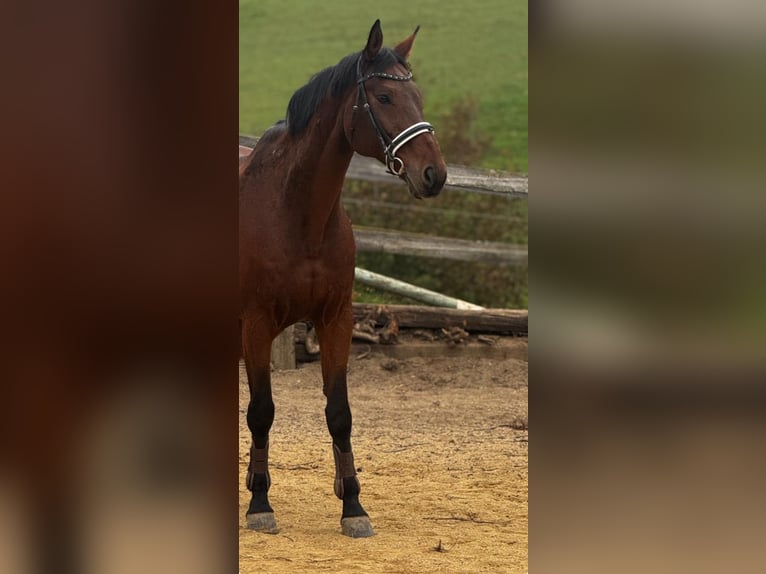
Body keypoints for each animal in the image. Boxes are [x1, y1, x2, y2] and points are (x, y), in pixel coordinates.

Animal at [238, 19, 447, 538]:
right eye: (384, 97)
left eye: (417, 94)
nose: (434, 174)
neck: (297, 212)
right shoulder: (256, 323)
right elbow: (261, 411)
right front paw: (259, 504)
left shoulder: (336, 319)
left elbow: (340, 413)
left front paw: (353, 504)